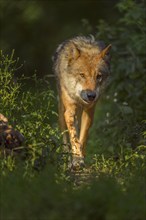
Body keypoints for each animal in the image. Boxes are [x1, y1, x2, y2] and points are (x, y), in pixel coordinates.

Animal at [53, 35, 111, 167]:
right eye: (82, 75)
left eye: (99, 76)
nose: (91, 95)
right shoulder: (69, 112)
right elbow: (74, 137)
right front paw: (76, 159)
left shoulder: (89, 112)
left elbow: (82, 138)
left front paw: (79, 157)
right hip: (62, 113)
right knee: (65, 136)